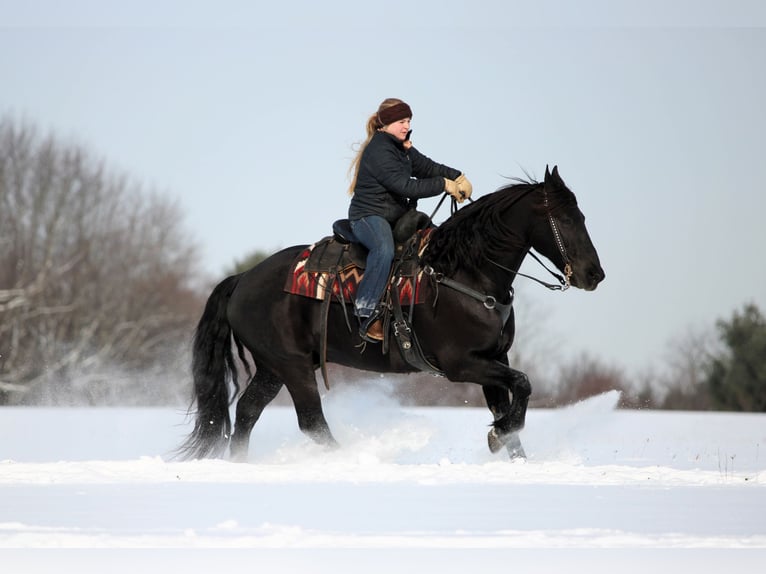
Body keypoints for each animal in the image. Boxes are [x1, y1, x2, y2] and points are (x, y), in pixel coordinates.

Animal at [178, 165, 605, 461]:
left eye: (583, 216)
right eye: (565, 219)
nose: (594, 274)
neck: (462, 272)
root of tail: (243, 279)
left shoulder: (495, 359)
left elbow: (512, 400)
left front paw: (508, 447)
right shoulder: (462, 364)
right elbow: (525, 385)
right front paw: (498, 435)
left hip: (273, 368)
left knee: (248, 413)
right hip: (292, 366)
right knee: (311, 421)